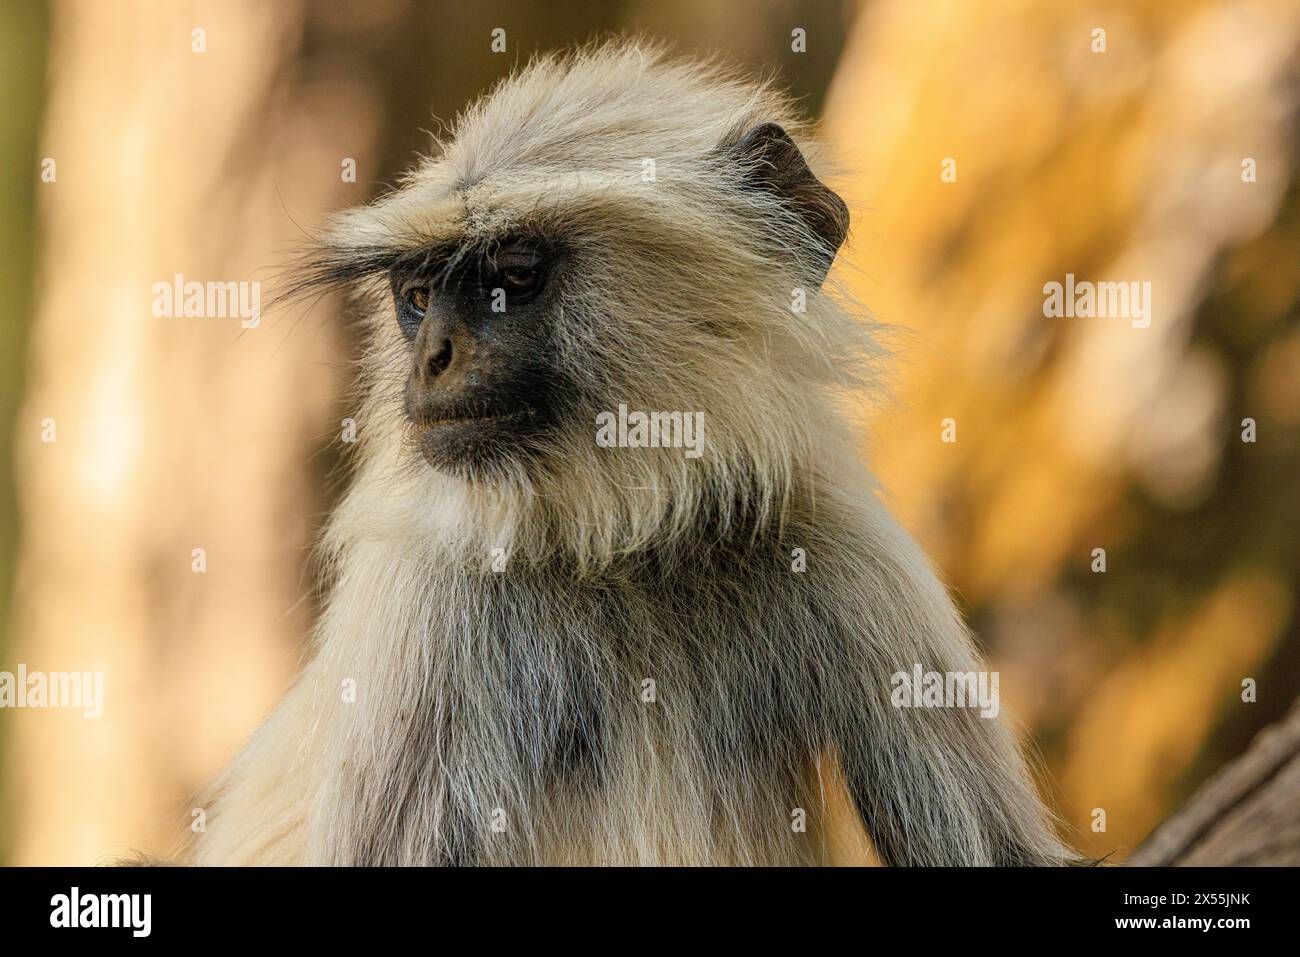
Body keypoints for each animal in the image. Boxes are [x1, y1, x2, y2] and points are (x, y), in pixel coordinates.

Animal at [188, 42, 1071, 868]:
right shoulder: (427, 598)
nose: (432, 356)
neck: (623, 540)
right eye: (416, 296)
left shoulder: (846, 546)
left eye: (512, 275)